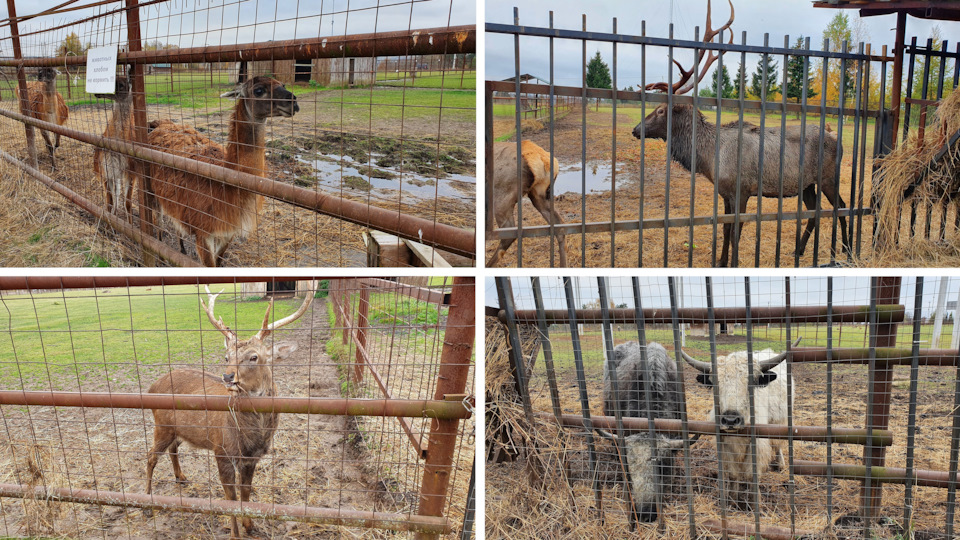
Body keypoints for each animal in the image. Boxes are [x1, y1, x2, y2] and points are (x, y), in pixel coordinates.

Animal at [145, 284, 316, 536]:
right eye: (227, 357)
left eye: (254, 357)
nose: (228, 376)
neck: (251, 437)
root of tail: (152, 385)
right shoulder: (222, 451)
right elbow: (231, 498)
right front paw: (236, 533)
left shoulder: (252, 457)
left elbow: (246, 491)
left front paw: (250, 525)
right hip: (162, 424)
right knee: (150, 457)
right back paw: (147, 503)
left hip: (177, 429)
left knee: (173, 449)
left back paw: (181, 477)